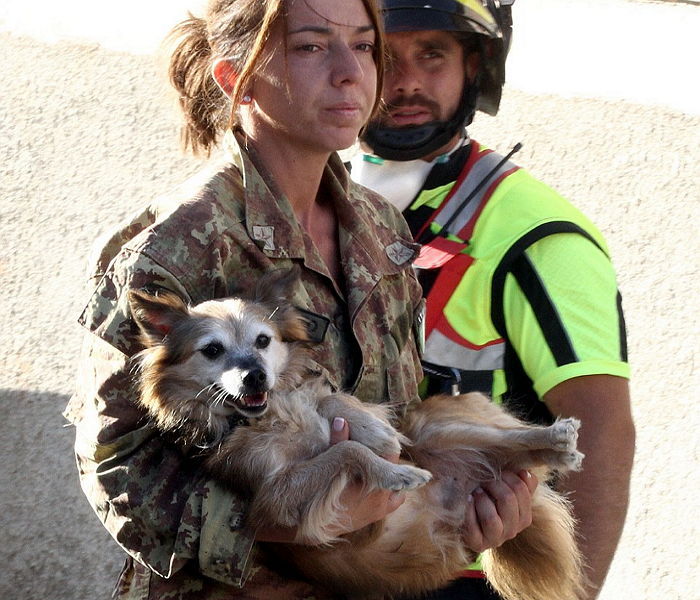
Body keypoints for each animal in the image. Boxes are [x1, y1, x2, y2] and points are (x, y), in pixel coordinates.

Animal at [130, 270, 584, 596]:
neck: (270, 415)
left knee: (509, 442)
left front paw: (375, 431)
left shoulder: (314, 405)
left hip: (434, 428)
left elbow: (333, 404)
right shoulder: (274, 498)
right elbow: (343, 451)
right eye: (212, 350)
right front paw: (392, 470)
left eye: (263, 341)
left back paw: (555, 441)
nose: (255, 376)